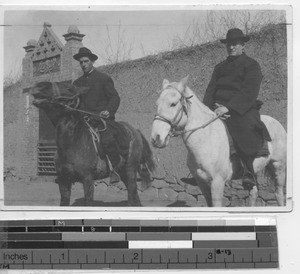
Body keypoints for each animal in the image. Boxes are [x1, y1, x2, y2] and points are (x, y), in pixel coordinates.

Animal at [151, 76, 288, 207]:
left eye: (173, 104)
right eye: (157, 104)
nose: (156, 138)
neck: (206, 140)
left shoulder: (217, 183)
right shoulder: (202, 183)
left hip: (278, 166)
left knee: (278, 194)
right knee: (254, 193)